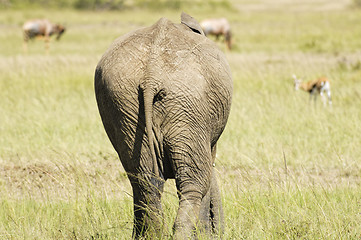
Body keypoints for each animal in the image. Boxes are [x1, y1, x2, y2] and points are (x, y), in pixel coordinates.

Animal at [94, 12, 232, 238]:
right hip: (189, 104)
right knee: (193, 184)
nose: (216, 230)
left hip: (124, 104)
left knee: (145, 183)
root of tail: (151, 75)